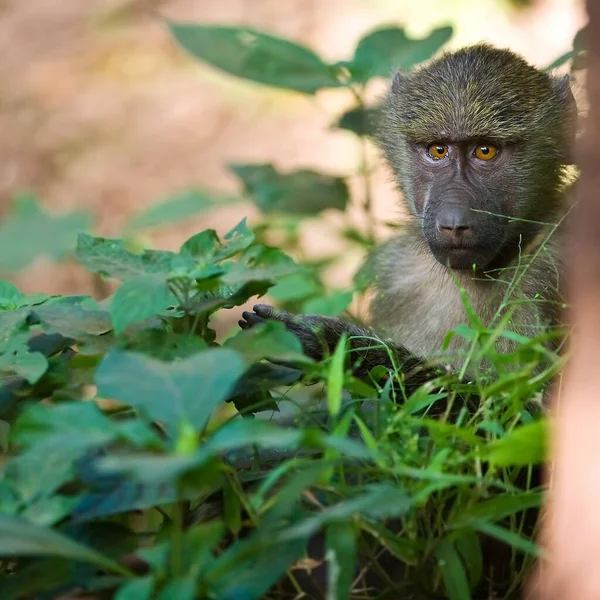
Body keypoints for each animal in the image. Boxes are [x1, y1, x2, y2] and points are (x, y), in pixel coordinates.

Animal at [238, 42, 576, 390]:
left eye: (485, 151)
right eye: (438, 150)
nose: (454, 223)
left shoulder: (552, 270)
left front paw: (331, 344)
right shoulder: (396, 273)